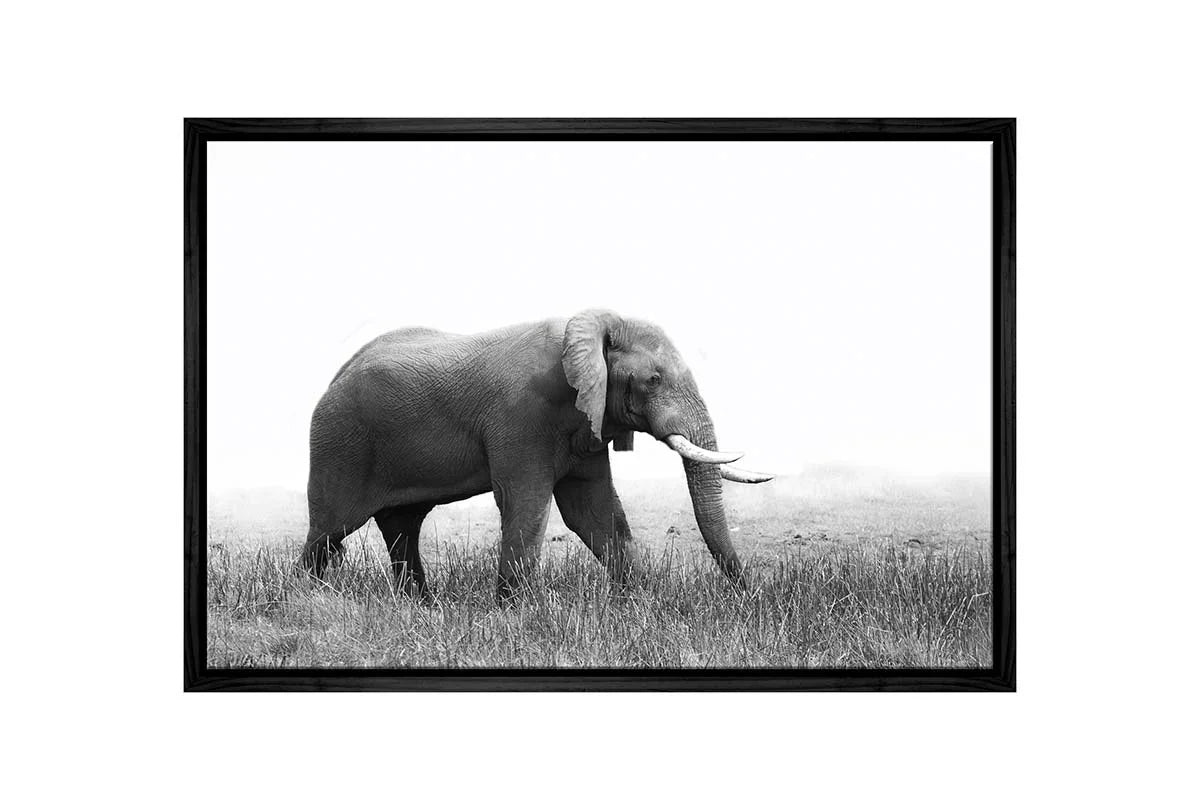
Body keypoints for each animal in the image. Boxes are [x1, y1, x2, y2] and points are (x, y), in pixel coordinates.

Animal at [298, 309, 773, 600]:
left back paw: (421, 606)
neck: (588, 330)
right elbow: (526, 501)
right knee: (330, 531)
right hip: (339, 443)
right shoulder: (521, 415)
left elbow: (592, 509)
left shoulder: (588, 419)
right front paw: (518, 612)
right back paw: (305, 598)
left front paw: (638, 601)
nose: (748, 593)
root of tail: (335, 376)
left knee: (402, 527)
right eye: (654, 379)